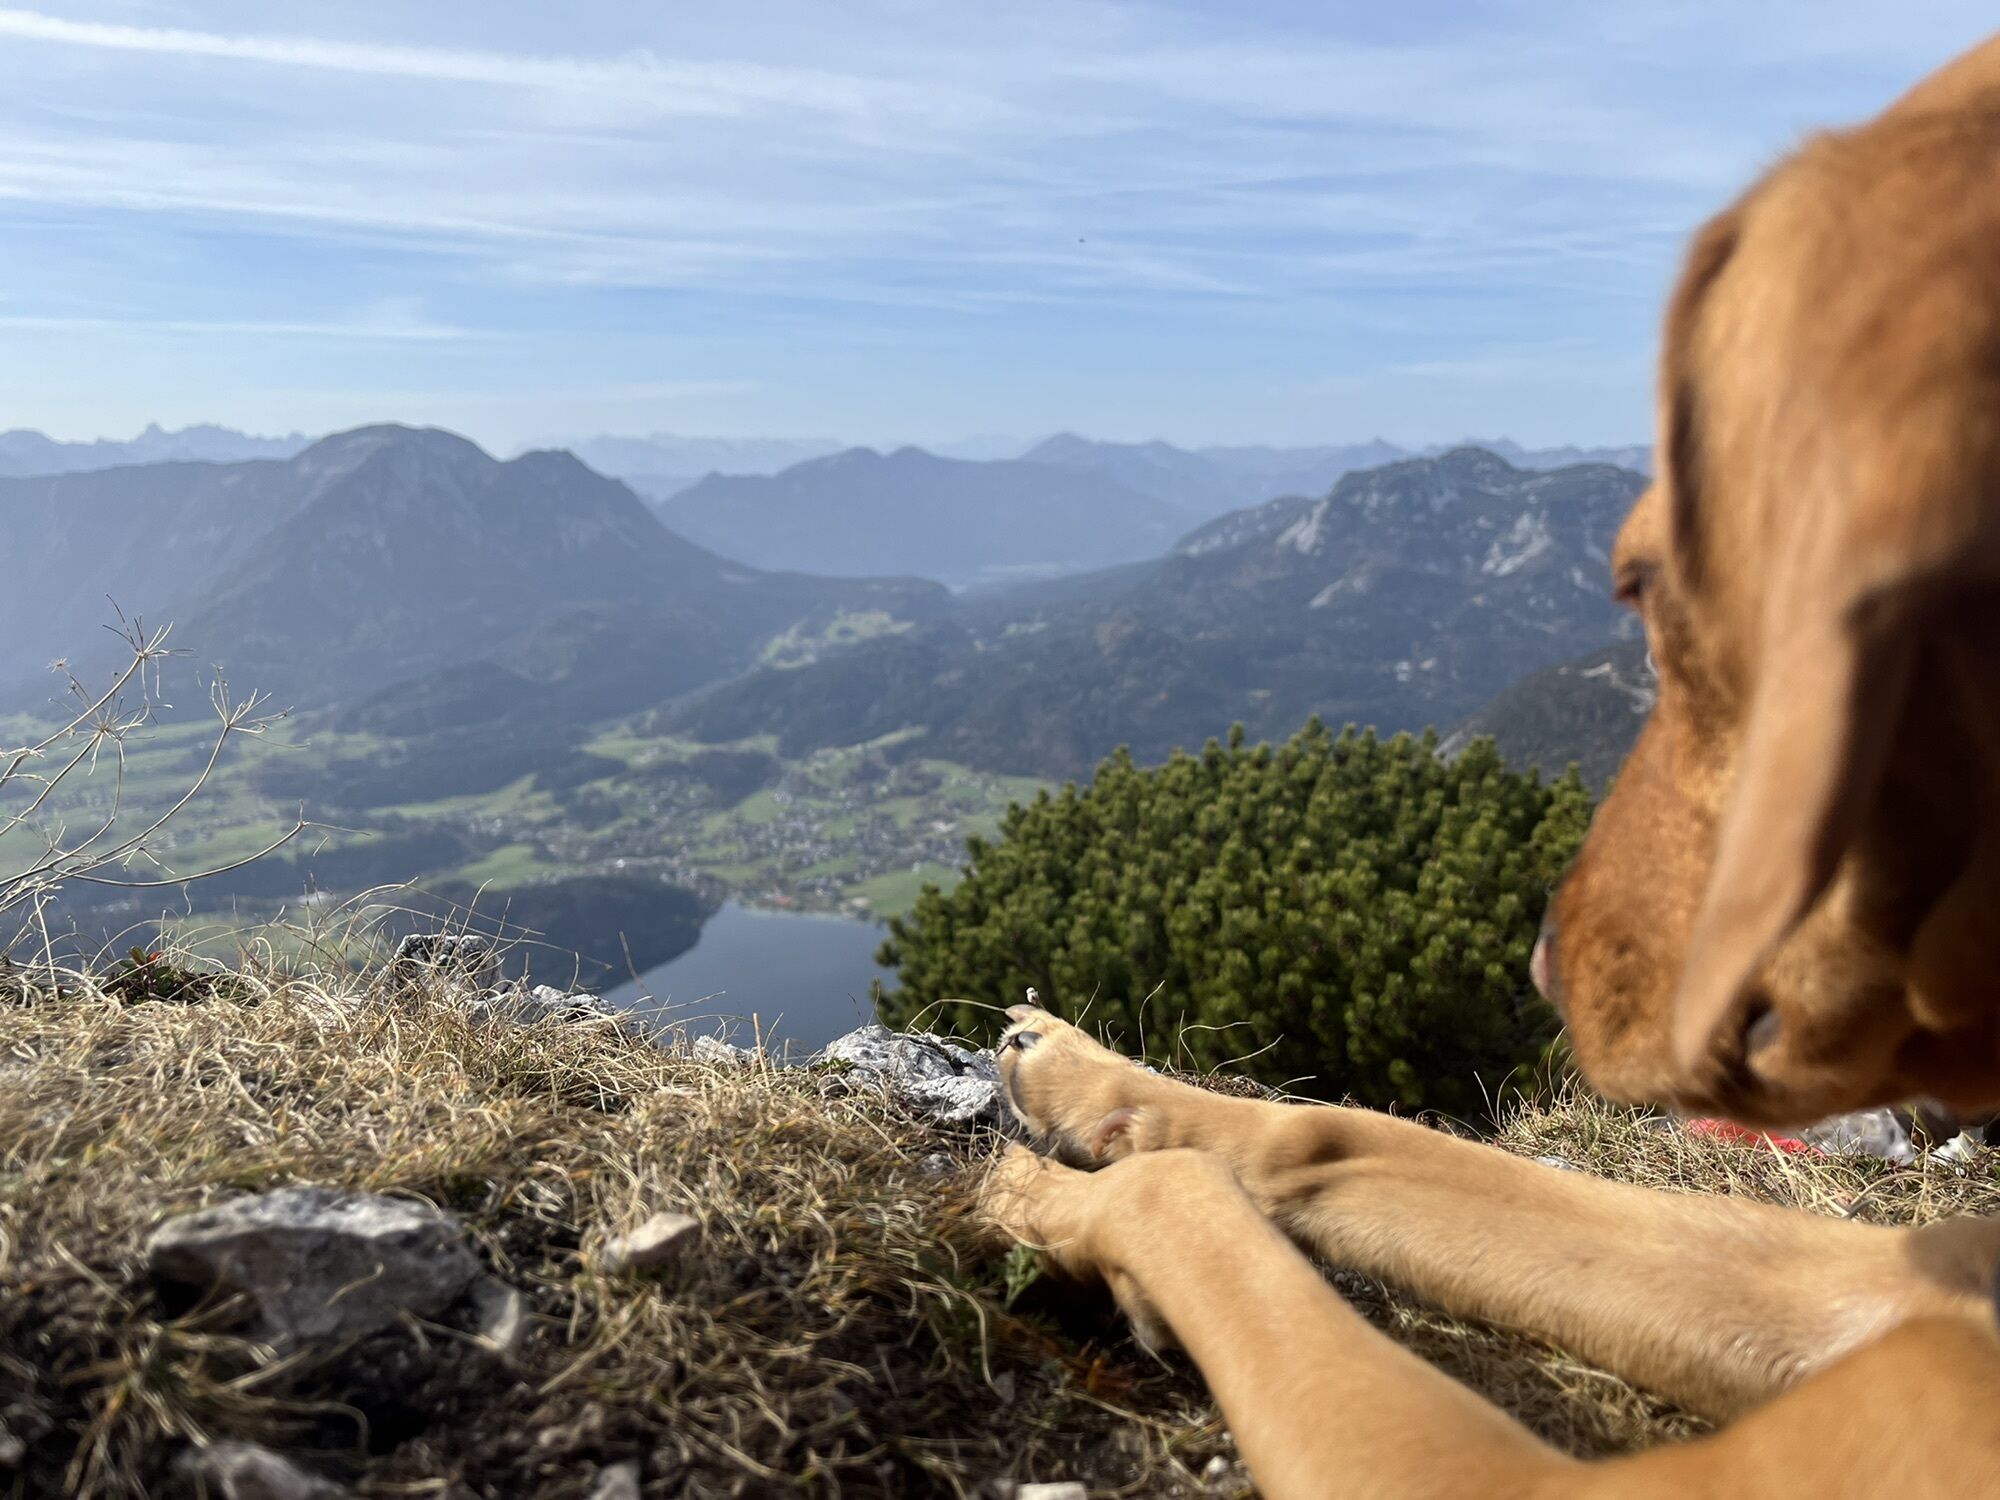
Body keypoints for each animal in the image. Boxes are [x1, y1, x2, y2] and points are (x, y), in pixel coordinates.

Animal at [983, 34, 2000, 1499]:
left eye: (1646, 583)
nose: (1537, 962)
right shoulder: (1854, 1285)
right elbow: (1344, 1134)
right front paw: (1093, 1086)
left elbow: (1194, 1206)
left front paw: (1043, 1196)